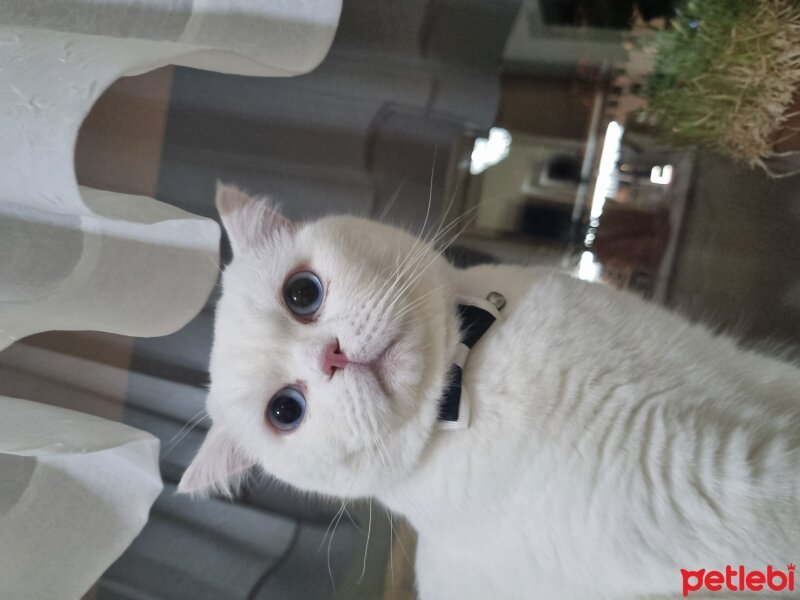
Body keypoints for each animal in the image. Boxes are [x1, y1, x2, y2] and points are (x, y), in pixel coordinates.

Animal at [181, 185, 800, 596]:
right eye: (286, 411)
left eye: (302, 293)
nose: (330, 357)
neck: (472, 378)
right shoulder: (708, 475)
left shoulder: (731, 368)